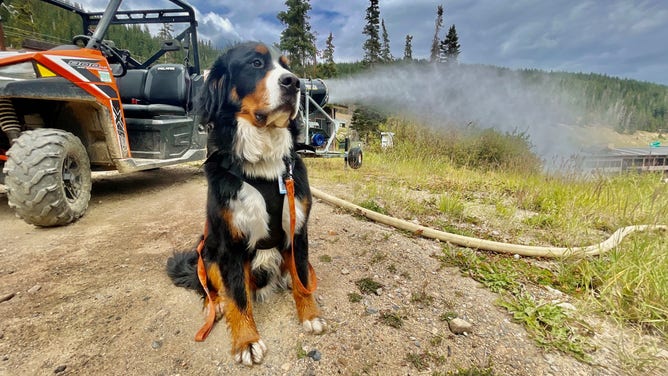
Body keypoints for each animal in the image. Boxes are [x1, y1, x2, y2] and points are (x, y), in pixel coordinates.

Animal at [166, 42, 324, 366]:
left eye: (287, 66)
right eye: (255, 63)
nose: (295, 83)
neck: (264, 166)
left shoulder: (298, 229)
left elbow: (303, 275)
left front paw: (309, 313)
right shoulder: (230, 242)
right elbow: (238, 297)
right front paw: (246, 341)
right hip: (207, 250)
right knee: (214, 289)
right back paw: (218, 304)